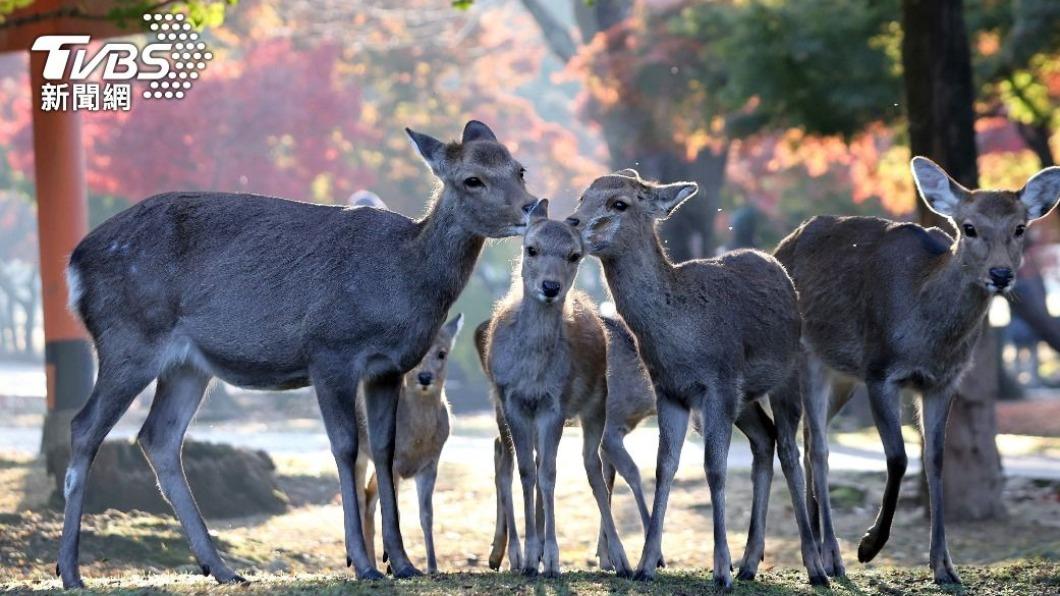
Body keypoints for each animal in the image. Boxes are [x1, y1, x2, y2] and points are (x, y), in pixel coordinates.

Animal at [355, 312, 462, 574]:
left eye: (442, 353)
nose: (424, 377)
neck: (416, 440)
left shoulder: (431, 464)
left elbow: (427, 515)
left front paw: (432, 567)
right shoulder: (393, 463)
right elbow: (396, 511)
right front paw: (397, 565)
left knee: (369, 497)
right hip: (361, 451)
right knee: (360, 497)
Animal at [565, 169, 829, 589]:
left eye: (619, 203)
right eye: (582, 196)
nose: (570, 223)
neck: (681, 336)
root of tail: (778, 268)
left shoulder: (717, 384)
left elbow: (714, 468)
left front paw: (720, 570)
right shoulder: (670, 392)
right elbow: (664, 467)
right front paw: (645, 565)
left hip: (788, 374)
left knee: (790, 451)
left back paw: (815, 568)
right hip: (745, 399)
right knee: (764, 439)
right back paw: (750, 563)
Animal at [774, 157, 1060, 584]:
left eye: (1020, 228)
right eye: (968, 227)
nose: (1001, 274)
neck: (927, 340)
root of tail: (782, 245)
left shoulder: (944, 382)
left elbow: (935, 460)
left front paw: (944, 566)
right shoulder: (880, 371)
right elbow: (897, 458)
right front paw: (869, 545)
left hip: (843, 376)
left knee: (811, 440)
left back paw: (825, 550)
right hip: (809, 358)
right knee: (818, 448)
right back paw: (833, 557)